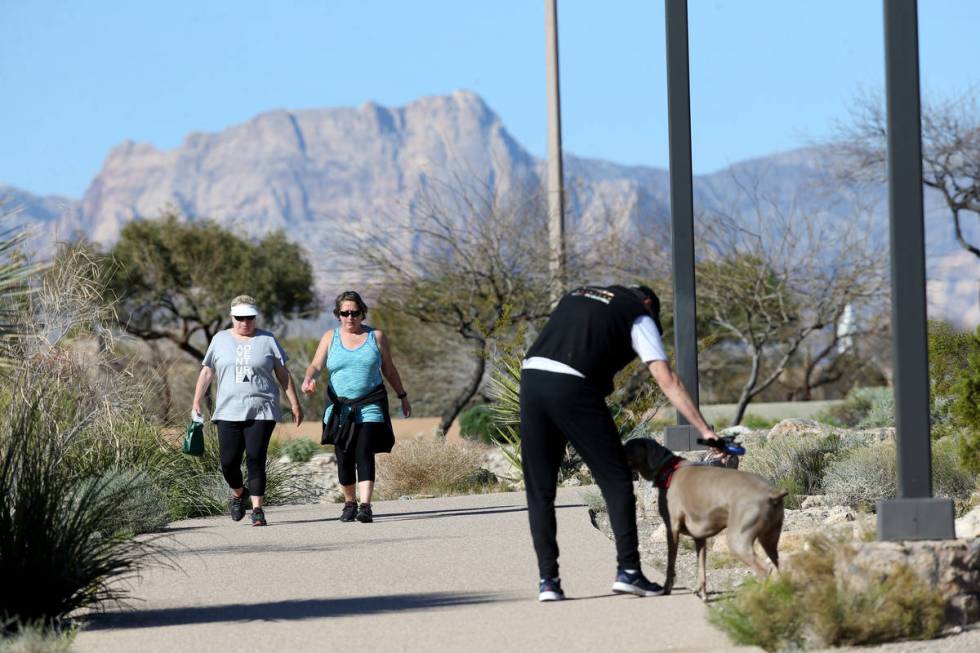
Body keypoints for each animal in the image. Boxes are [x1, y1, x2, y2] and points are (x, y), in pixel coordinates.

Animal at [628, 436, 788, 600]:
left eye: (628, 447)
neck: (669, 469)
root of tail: (772, 492)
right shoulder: (699, 536)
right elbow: (701, 566)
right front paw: (703, 594)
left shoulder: (672, 528)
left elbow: (670, 563)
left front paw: (666, 589)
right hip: (770, 538)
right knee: (779, 565)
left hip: (738, 538)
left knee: (764, 570)